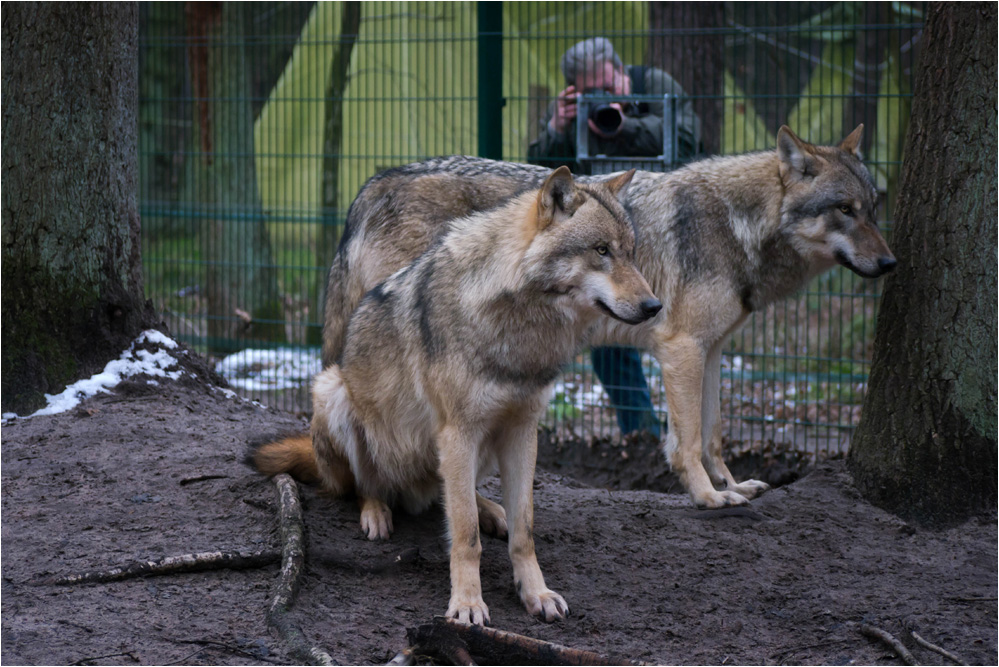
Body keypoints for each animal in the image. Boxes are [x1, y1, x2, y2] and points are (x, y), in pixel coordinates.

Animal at [258, 168, 664, 628]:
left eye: (630, 252)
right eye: (601, 250)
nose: (654, 306)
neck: (521, 327)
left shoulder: (522, 430)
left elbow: (524, 529)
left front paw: (536, 593)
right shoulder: (458, 432)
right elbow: (465, 535)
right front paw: (467, 604)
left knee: (449, 492)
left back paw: (490, 509)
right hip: (333, 392)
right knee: (366, 484)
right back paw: (376, 511)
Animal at [322, 126, 900, 512]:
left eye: (873, 208)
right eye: (844, 210)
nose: (892, 263)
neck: (738, 225)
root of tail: (372, 185)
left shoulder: (712, 350)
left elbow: (714, 432)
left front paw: (732, 486)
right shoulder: (681, 347)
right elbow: (688, 440)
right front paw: (706, 496)